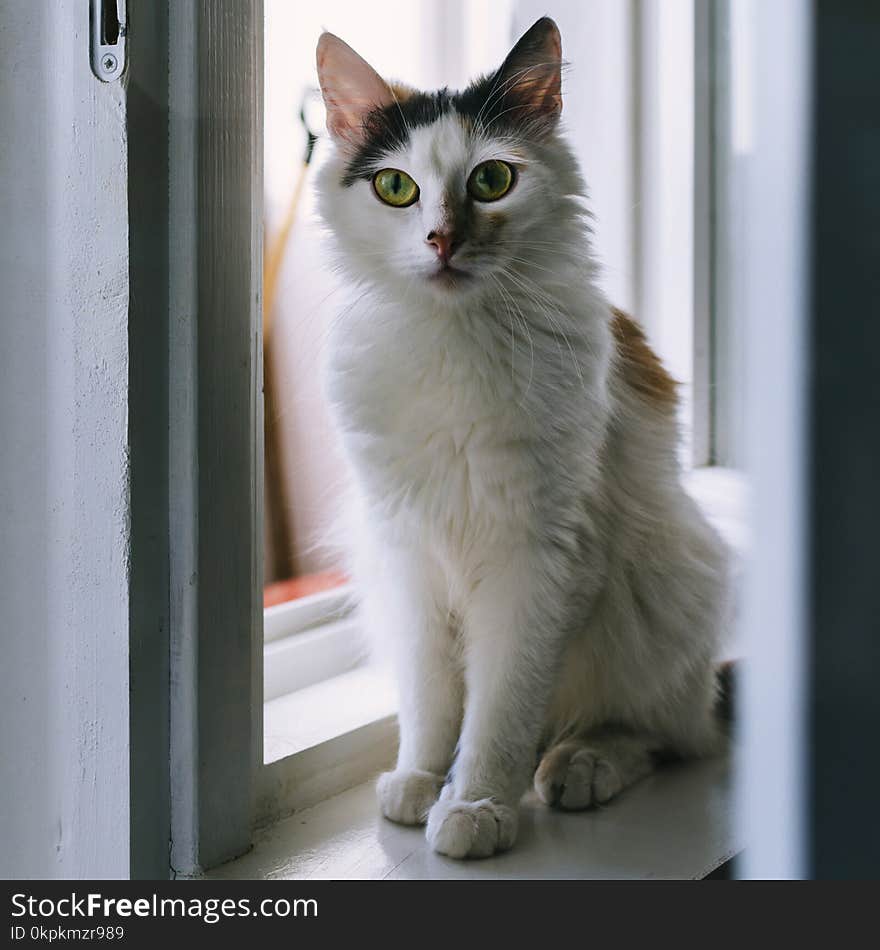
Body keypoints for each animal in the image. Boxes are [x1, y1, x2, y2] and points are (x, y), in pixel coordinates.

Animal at [312, 16, 732, 864]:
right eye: (395, 188)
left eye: (491, 182)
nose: (441, 239)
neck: (450, 343)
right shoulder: (407, 550)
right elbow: (432, 696)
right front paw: (423, 778)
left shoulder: (536, 557)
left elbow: (502, 705)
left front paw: (475, 804)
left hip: (667, 582)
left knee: (663, 734)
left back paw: (580, 765)